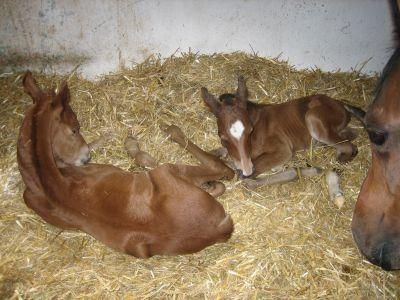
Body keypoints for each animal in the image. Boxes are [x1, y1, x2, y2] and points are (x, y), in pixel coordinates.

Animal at [18, 71, 234, 258]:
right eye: (74, 128)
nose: (85, 158)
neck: (43, 177)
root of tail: (218, 229)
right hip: (167, 171)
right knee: (221, 169)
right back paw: (179, 135)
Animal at [202, 76, 364, 186]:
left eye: (250, 130)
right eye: (222, 136)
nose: (246, 169)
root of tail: (340, 103)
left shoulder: (282, 150)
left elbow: (247, 175)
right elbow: (215, 154)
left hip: (313, 119)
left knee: (349, 147)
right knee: (351, 134)